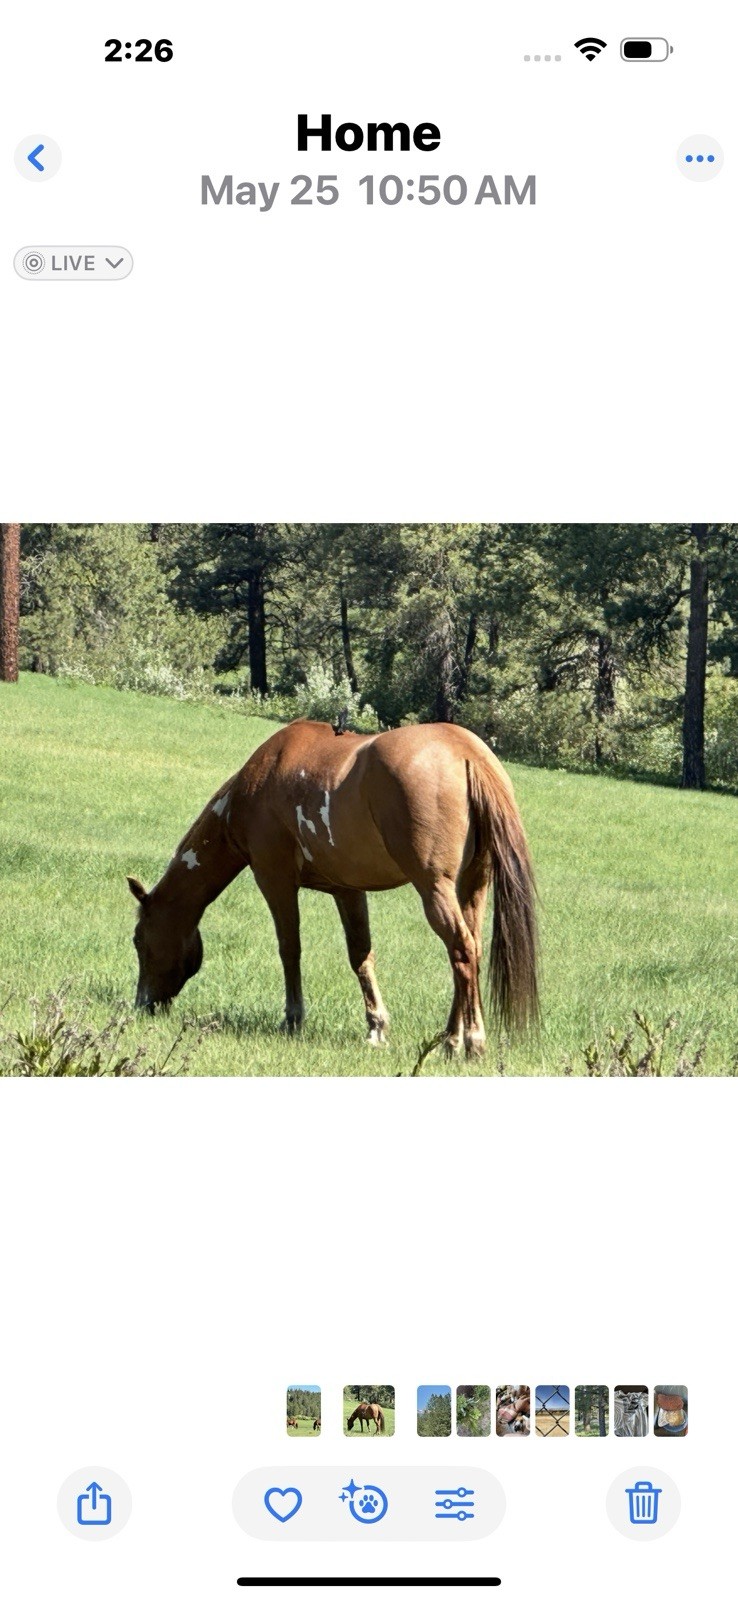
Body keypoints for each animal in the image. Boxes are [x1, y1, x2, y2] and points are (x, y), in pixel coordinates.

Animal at [127, 719, 538, 1058]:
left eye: (138, 939)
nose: (143, 1004)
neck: (257, 782)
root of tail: (467, 752)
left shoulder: (274, 879)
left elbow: (290, 949)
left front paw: (293, 1019)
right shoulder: (348, 889)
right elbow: (361, 956)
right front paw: (376, 1028)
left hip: (435, 887)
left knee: (462, 950)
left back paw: (467, 1041)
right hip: (474, 883)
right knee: (471, 949)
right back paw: (450, 1038)